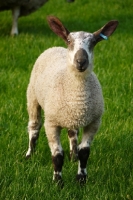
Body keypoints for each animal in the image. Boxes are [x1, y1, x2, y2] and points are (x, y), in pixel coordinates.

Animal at [25, 15, 118, 184]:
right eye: (69, 41)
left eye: (94, 42)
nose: (81, 61)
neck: (77, 96)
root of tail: (55, 47)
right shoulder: (51, 124)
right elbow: (57, 155)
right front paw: (58, 182)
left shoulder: (94, 122)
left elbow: (85, 152)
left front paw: (81, 179)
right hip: (32, 97)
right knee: (34, 127)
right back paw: (29, 155)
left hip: (71, 117)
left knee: (72, 132)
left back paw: (73, 156)